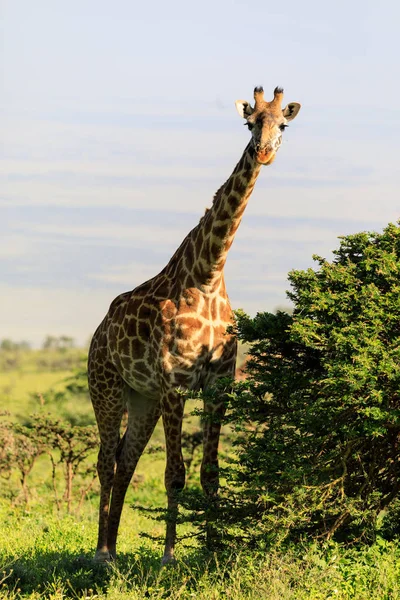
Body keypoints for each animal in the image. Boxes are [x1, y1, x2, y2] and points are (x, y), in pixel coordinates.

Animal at [87, 84, 300, 564]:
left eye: (283, 124)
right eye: (249, 122)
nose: (263, 151)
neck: (207, 274)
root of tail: (97, 333)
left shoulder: (219, 385)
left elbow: (210, 475)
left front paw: (213, 549)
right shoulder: (176, 386)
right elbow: (174, 474)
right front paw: (169, 555)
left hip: (142, 398)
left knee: (125, 461)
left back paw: (113, 546)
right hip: (105, 387)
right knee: (106, 460)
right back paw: (101, 552)